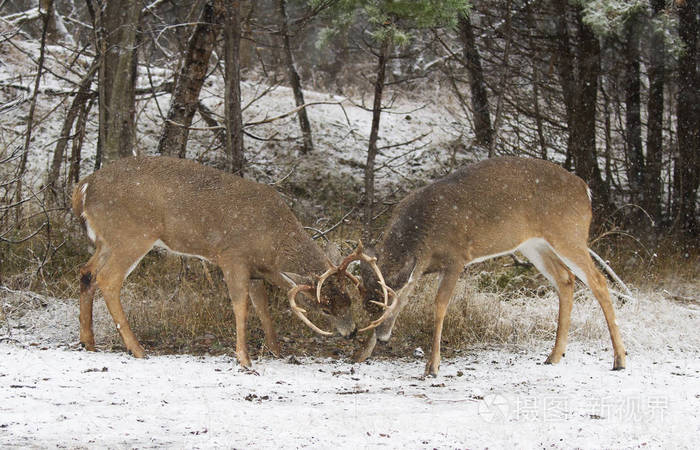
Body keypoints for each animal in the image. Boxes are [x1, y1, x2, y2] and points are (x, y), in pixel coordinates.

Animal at [72, 156, 378, 368]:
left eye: (348, 299)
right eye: (324, 308)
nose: (351, 332)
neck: (272, 240)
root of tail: (83, 187)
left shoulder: (258, 271)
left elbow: (263, 309)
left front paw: (277, 351)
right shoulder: (232, 256)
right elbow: (241, 307)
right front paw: (244, 358)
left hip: (106, 240)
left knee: (86, 272)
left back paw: (89, 342)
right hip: (132, 235)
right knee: (108, 279)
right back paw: (137, 349)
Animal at [352, 157, 628, 376]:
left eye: (389, 302)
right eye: (368, 307)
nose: (382, 336)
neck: (424, 231)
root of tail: (585, 189)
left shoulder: (456, 257)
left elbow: (439, 305)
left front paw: (432, 366)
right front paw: (361, 355)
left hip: (569, 234)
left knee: (598, 280)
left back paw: (619, 360)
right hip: (534, 244)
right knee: (565, 278)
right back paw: (554, 356)